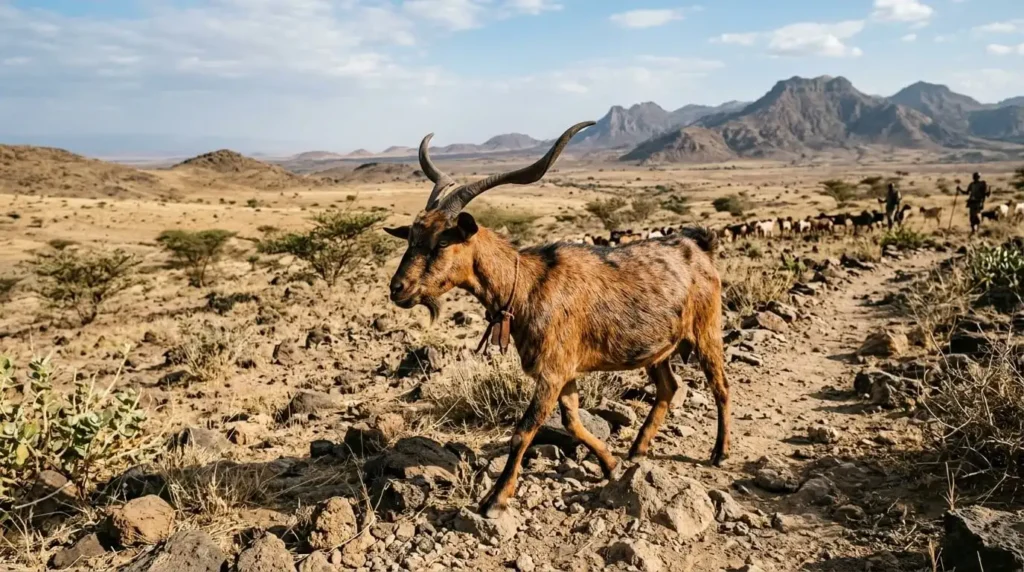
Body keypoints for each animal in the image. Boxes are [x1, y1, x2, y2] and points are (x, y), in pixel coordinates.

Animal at [383, 121, 730, 518]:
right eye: (410, 237)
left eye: (442, 242)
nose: (398, 288)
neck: (527, 285)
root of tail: (700, 247)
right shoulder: (566, 373)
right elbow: (571, 422)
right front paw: (610, 465)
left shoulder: (552, 372)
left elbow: (524, 431)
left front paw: (496, 498)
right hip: (656, 349)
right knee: (668, 388)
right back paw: (637, 449)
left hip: (707, 330)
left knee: (721, 386)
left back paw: (719, 453)